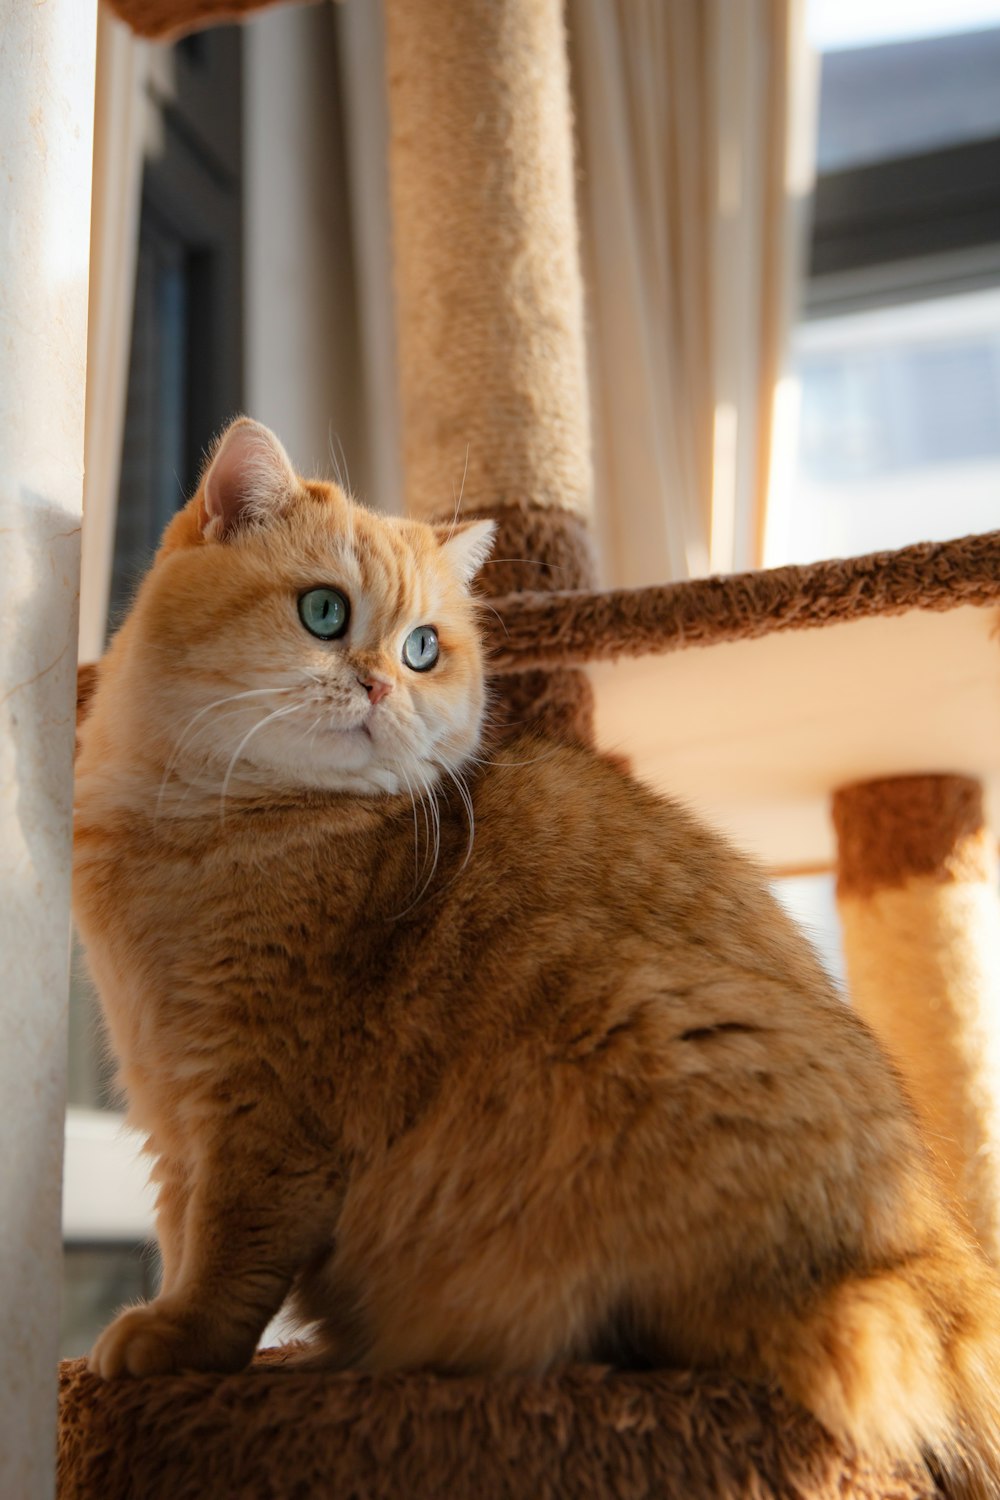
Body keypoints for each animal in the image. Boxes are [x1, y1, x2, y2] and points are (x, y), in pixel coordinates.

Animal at [76, 417, 1000, 1494]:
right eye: (323, 612)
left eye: (424, 648)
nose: (381, 682)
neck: (193, 831)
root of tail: (927, 1252)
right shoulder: (173, 1110)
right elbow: (181, 1232)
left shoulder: (263, 1111)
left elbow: (226, 1256)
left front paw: (175, 1344)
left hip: (638, 1039)